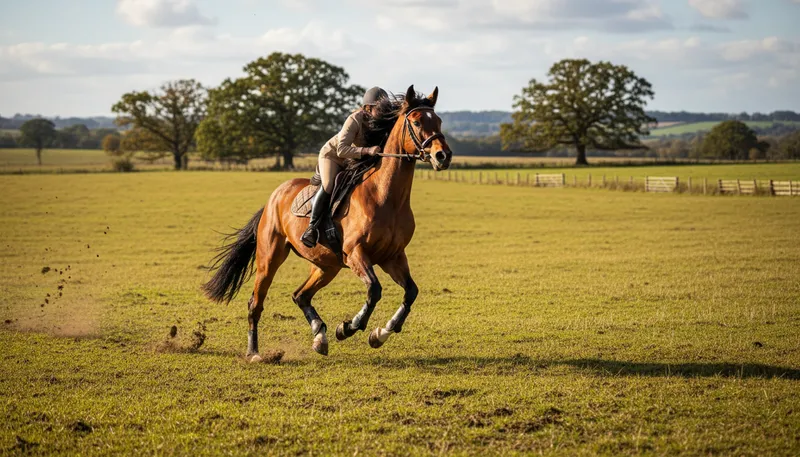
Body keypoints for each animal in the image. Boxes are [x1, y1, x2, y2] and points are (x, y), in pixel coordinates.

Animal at [202, 85, 453, 359]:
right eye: (417, 122)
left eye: (439, 121)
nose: (443, 155)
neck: (387, 197)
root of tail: (273, 198)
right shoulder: (355, 253)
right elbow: (374, 290)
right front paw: (348, 328)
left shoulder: (393, 256)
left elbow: (411, 292)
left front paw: (381, 333)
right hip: (269, 259)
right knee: (256, 303)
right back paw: (254, 352)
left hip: (326, 265)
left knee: (300, 295)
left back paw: (319, 337)